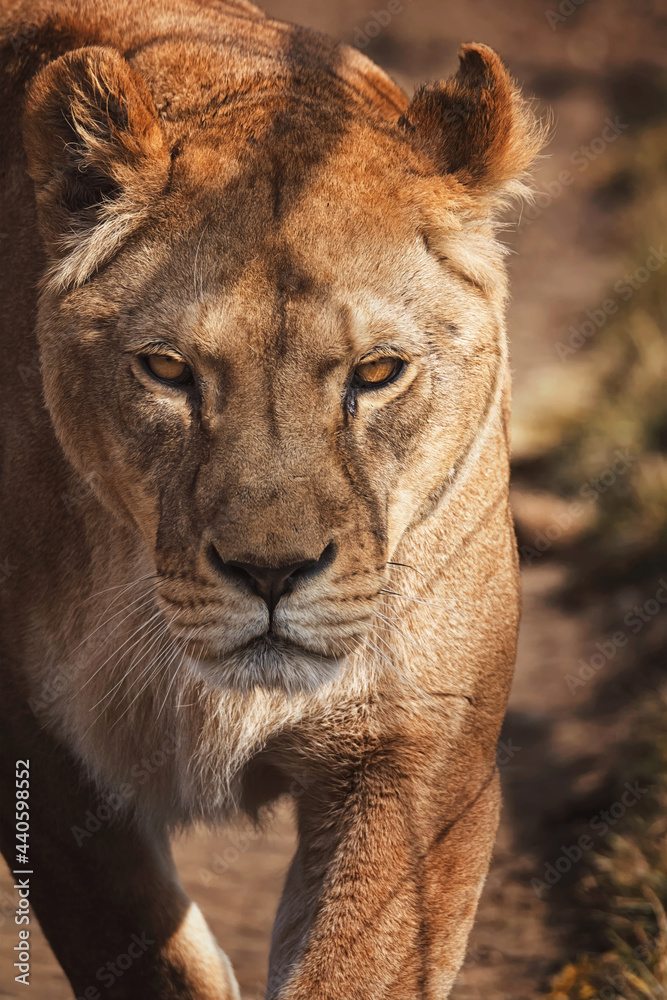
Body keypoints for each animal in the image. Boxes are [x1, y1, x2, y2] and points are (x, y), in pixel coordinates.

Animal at [0, 0, 544, 996]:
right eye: (167, 371)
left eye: (377, 372)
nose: (270, 573)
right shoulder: (43, 760)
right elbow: (147, 955)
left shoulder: (419, 753)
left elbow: (356, 967)